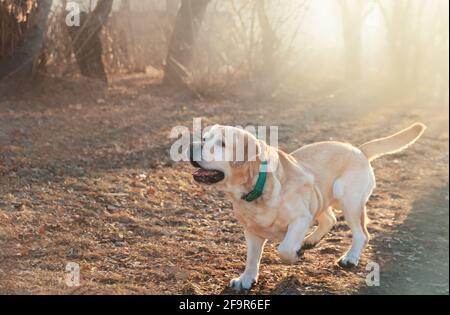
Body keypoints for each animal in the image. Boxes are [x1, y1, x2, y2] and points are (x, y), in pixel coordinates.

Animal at [189, 123, 426, 292]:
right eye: (204, 138)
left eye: (222, 144)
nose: (190, 147)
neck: (258, 185)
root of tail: (358, 149)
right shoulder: (251, 231)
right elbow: (252, 258)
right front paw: (246, 279)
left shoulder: (300, 218)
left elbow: (284, 248)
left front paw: (295, 254)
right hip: (320, 196)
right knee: (330, 219)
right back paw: (310, 240)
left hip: (348, 200)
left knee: (362, 234)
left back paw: (349, 257)